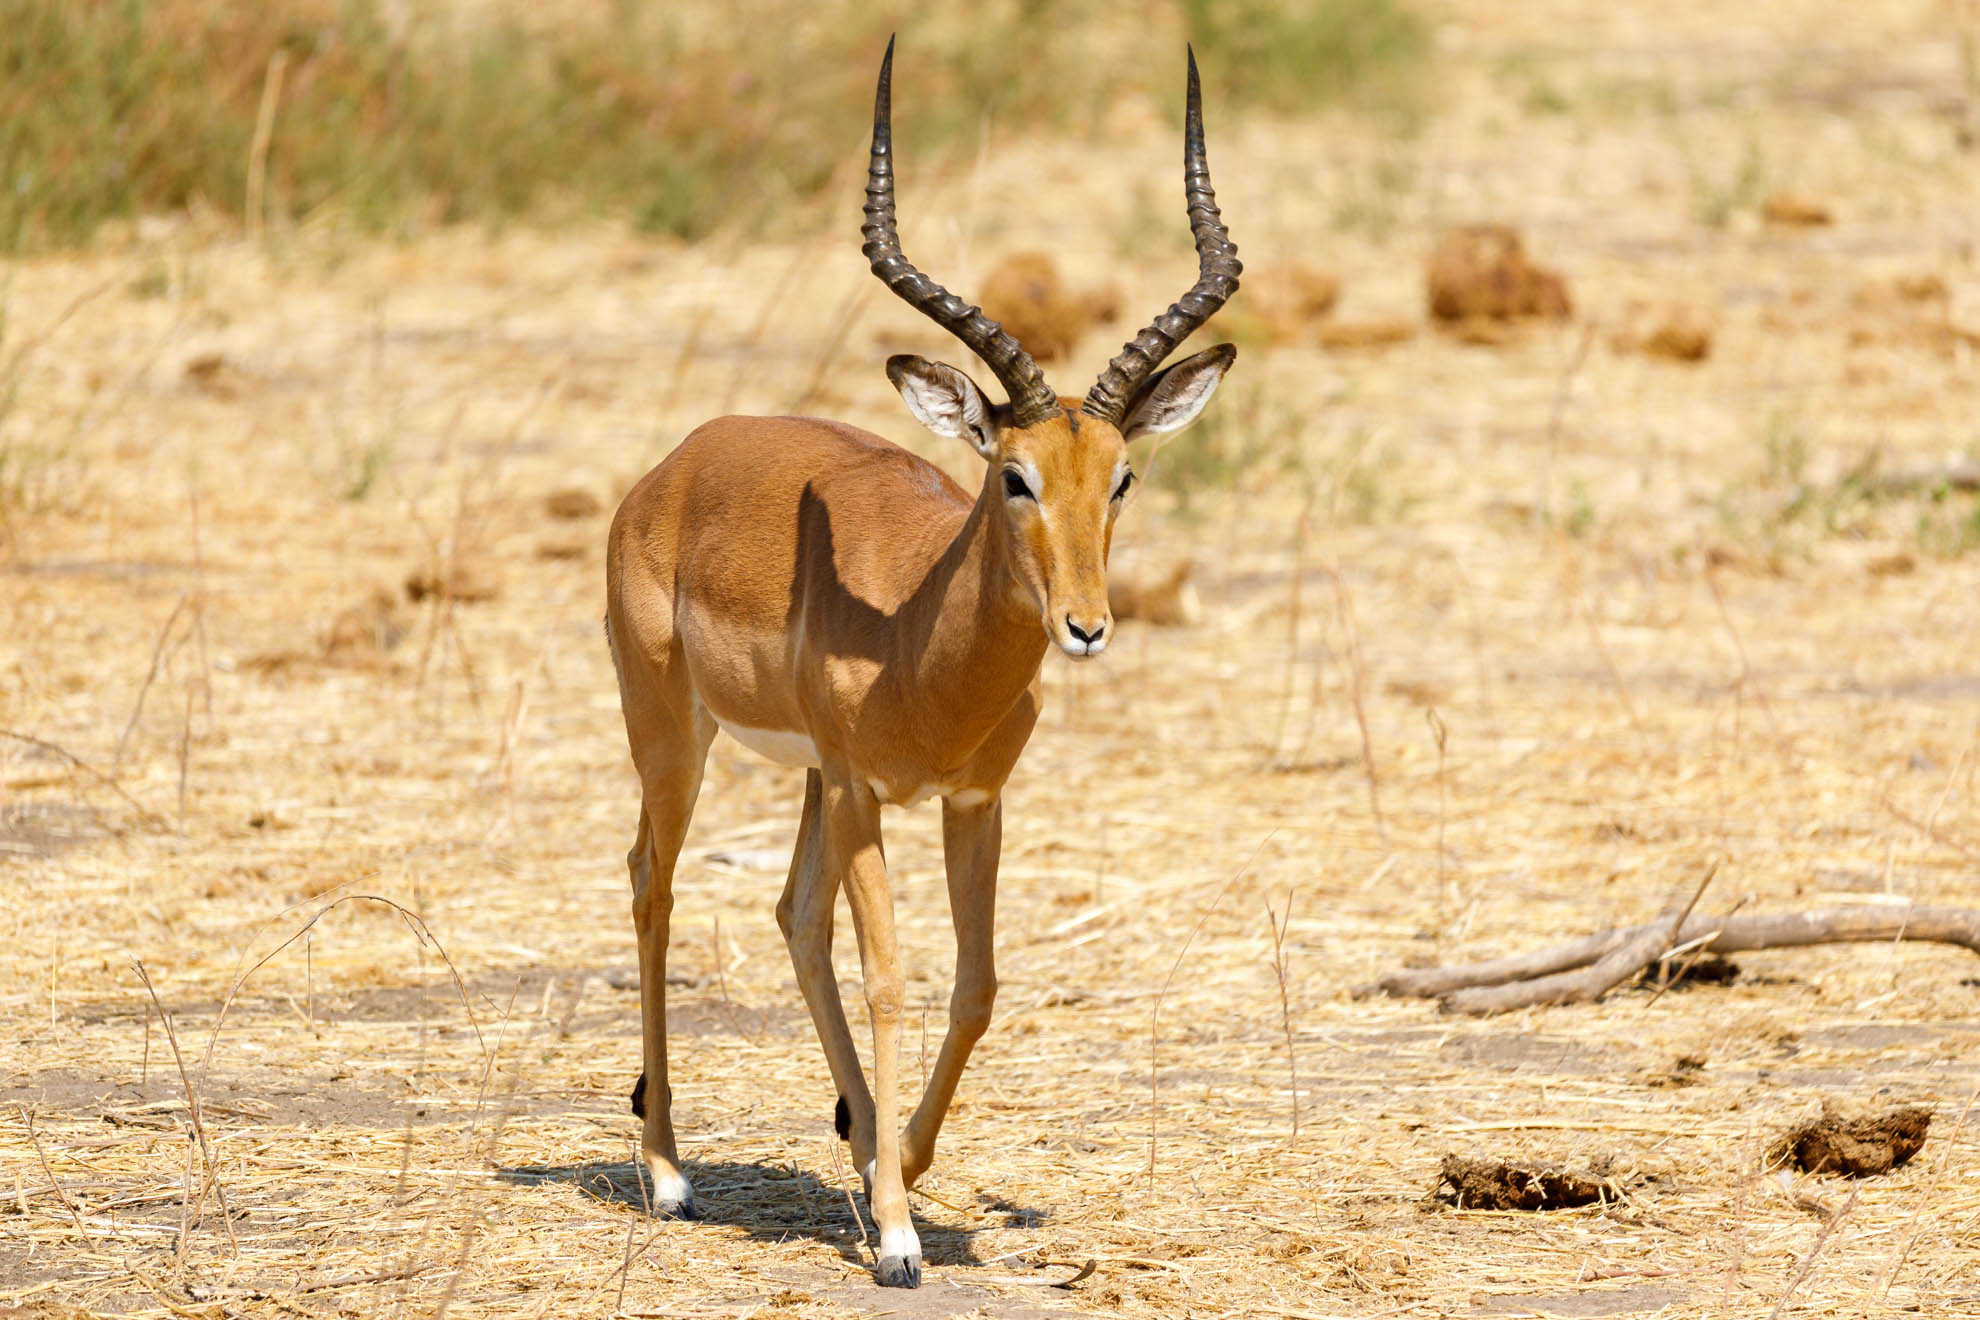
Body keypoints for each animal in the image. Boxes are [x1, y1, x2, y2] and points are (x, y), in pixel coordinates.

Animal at [604, 39, 1240, 1289]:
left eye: (1122, 477)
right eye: (1014, 475)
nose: (1086, 626)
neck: (916, 642)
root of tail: (677, 465)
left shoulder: (970, 798)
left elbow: (978, 984)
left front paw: (904, 1166)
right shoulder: (868, 793)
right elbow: (893, 977)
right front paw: (897, 1238)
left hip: (807, 777)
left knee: (792, 916)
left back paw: (858, 1144)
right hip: (675, 735)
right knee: (654, 881)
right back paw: (669, 1175)